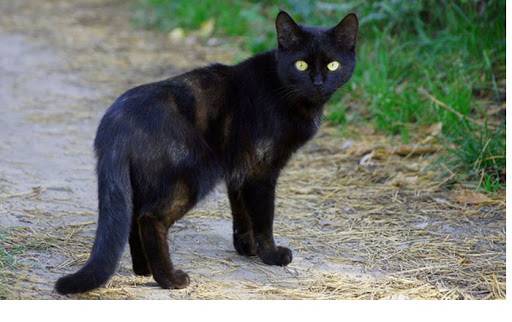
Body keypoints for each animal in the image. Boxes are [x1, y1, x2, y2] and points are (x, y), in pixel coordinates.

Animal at [54, 10, 358, 294]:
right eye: (301, 64)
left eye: (333, 64)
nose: (318, 82)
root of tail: (115, 122)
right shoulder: (261, 171)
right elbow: (263, 218)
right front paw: (271, 255)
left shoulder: (239, 170)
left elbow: (241, 213)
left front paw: (246, 248)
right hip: (192, 176)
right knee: (150, 219)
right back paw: (170, 279)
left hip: (142, 182)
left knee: (132, 220)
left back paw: (143, 270)